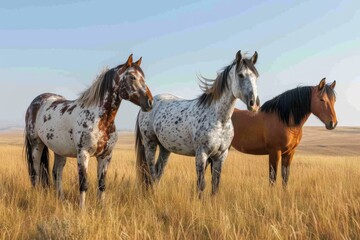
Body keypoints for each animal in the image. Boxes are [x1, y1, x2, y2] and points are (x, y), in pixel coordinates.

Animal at [24, 54, 153, 208]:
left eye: (143, 77)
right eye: (132, 77)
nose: (150, 102)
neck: (100, 120)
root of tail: (36, 102)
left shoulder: (105, 156)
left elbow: (102, 184)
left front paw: (102, 208)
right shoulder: (83, 154)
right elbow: (83, 183)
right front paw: (82, 209)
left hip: (59, 150)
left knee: (56, 173)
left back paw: (61, 199)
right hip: (36, 145)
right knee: (35, 172)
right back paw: (36, 196)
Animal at [136, 50, 260, 197]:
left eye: (256, 76)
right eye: (241, 75)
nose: (254, 104)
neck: (220, 120)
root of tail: (148, 104)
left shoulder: (221, 156)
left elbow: (215, 186)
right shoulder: (202, 154)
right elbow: (201, 185)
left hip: (165, 148)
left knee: (158, 172)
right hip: (150, 143)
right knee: (151, 172)